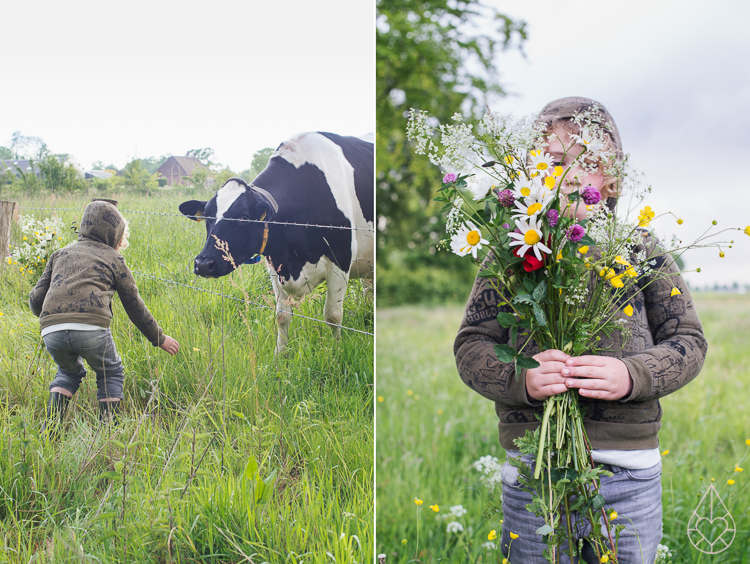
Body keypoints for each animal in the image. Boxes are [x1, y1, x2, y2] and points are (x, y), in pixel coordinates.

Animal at [179, 132, 374, 352]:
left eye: (244, 217)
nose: (203, 263)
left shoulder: (340, 260)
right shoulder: (275, 265)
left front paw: (336, 351)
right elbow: (282, 316)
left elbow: (333, 316)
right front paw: (280, 355)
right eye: (207, 217)